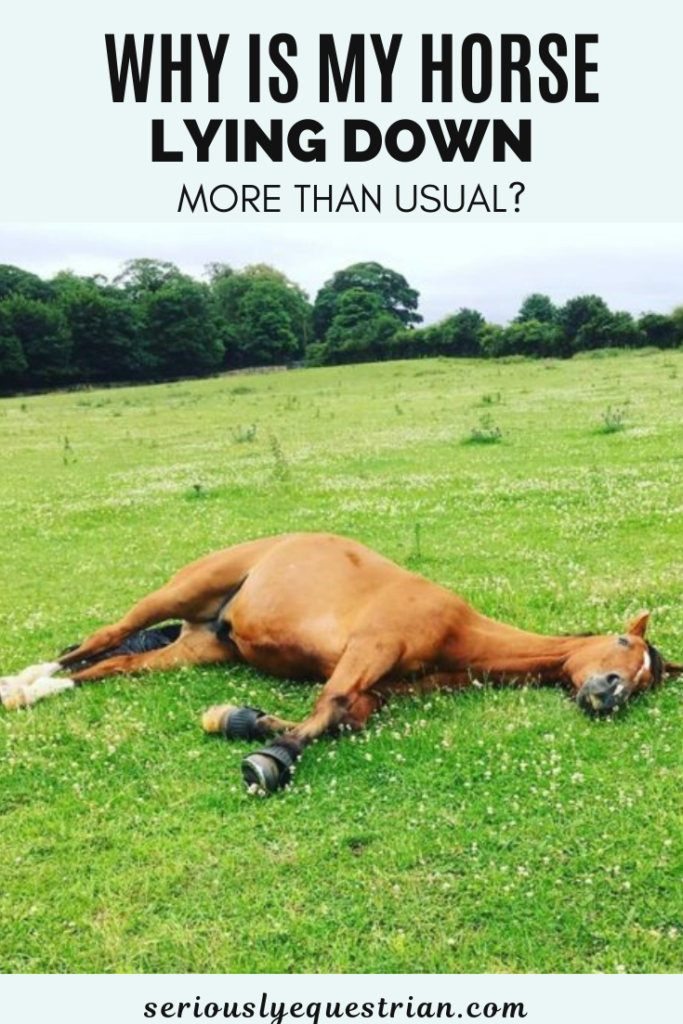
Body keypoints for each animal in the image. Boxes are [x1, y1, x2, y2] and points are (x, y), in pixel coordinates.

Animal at [1, 532, 680, 793]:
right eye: (625, 649)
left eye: (646, 682)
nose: (611, 693)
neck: (457, 633)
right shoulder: (370, 648)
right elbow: (327, 707)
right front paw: (270, 761)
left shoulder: (378, 690)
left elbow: (346, 716)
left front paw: (242, 719)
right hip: (179, 594)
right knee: (105, 636)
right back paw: (22, 683)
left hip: (195, 649)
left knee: (105, 666)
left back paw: (38, 690)